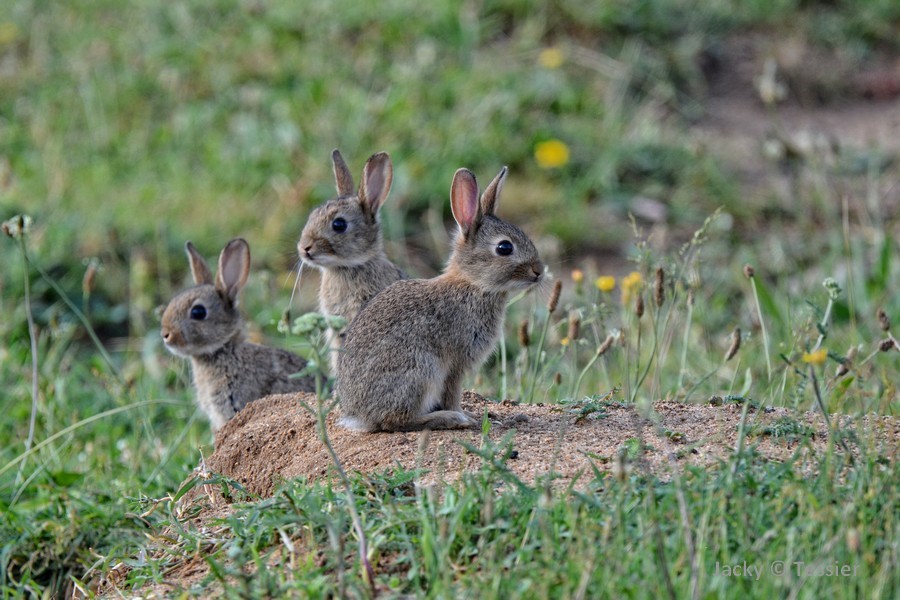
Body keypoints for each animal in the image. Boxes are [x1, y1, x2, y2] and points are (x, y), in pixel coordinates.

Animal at [336, 166, 545, 432]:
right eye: (504, 248)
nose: (539, 271)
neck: (474, 284)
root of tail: (359, 414)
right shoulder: (456, 363)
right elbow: (452, 393)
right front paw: (465, 416)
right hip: (421, 370)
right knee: (396, 420)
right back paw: (449, 418)